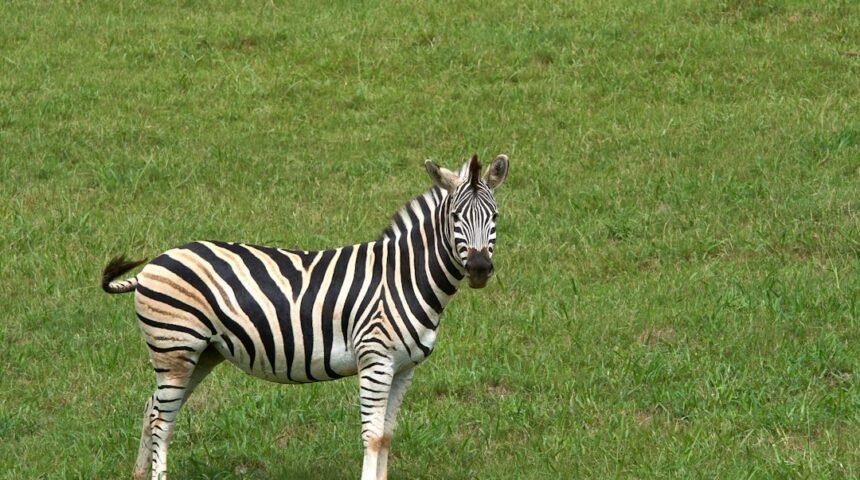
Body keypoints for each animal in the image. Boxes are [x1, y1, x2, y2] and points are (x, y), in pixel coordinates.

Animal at [101, 153, 508, 480]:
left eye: (494, 217)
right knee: (160, 419)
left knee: (153, 410)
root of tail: (153, 264)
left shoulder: (404, 368)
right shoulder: (376, 360)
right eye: (455, 217)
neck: (404, 276)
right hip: (176, 349)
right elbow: (372, 436)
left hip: (200, 354)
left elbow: (387, 435)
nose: (479, 269)